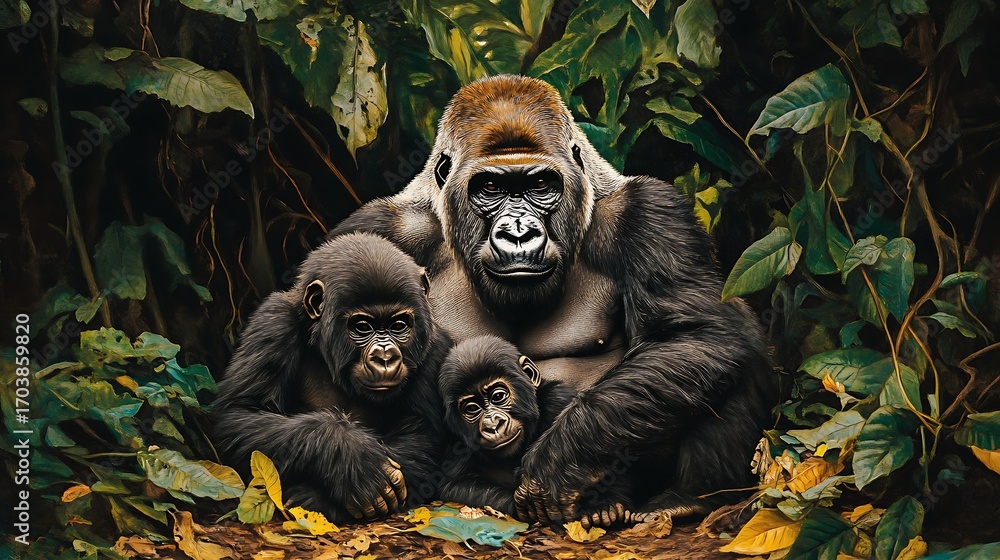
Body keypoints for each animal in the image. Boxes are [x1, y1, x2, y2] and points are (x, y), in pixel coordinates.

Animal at [211, 232, 451, 523]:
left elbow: (421, 433)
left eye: (399, 326)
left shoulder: (435, 344)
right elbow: (240, 413)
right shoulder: (273, 322)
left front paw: (319, 498)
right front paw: (353, 460)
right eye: (362, 327)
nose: (385, 357)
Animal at [329, 75, 774, 525]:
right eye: (491, 187)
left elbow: (693, 334)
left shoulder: (650, 212)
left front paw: (556, 465)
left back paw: (691, 496)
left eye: (540, 185)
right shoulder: (376, 230)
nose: (519, 233)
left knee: (732, 334)